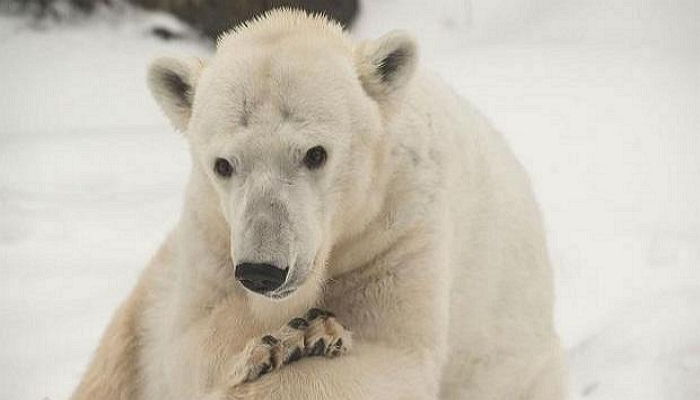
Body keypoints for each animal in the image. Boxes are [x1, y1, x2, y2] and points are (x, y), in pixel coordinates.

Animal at [69, 7, 564, 400]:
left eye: (315, 154)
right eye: (223, 164)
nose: (263, 271)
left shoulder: (398, 229)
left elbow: (396, 356)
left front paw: (308, 336)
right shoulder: (209, 233)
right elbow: (184, 346)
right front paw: (281, 338)